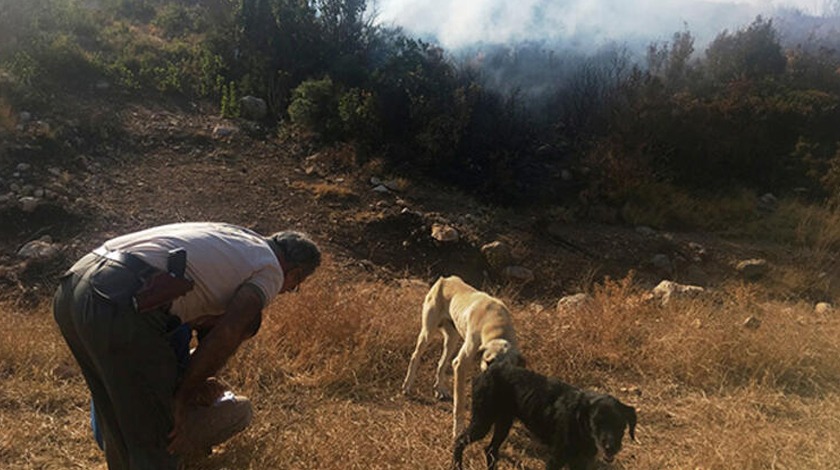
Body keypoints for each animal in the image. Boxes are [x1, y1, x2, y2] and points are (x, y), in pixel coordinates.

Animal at [402, 276, 524, 436]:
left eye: (508, 368)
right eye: (489, 362)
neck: (497, 326)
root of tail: (445, 279)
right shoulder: (460, 364)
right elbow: (459, 405)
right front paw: (458, 430)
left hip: (452, 340)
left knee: (441, 363)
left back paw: (439, 389)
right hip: (428, 333)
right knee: (415, 357)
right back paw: (407, 386)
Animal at [452, 368, 636, 470]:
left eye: (620, 425)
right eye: (595, 422)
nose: (610, 447)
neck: (580, 423)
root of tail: (483, 373)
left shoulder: (581, 462)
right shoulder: (556, 458)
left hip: (503, 423)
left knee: (490, 450)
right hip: (482, 421)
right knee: (459, 440)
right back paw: (457, 465)